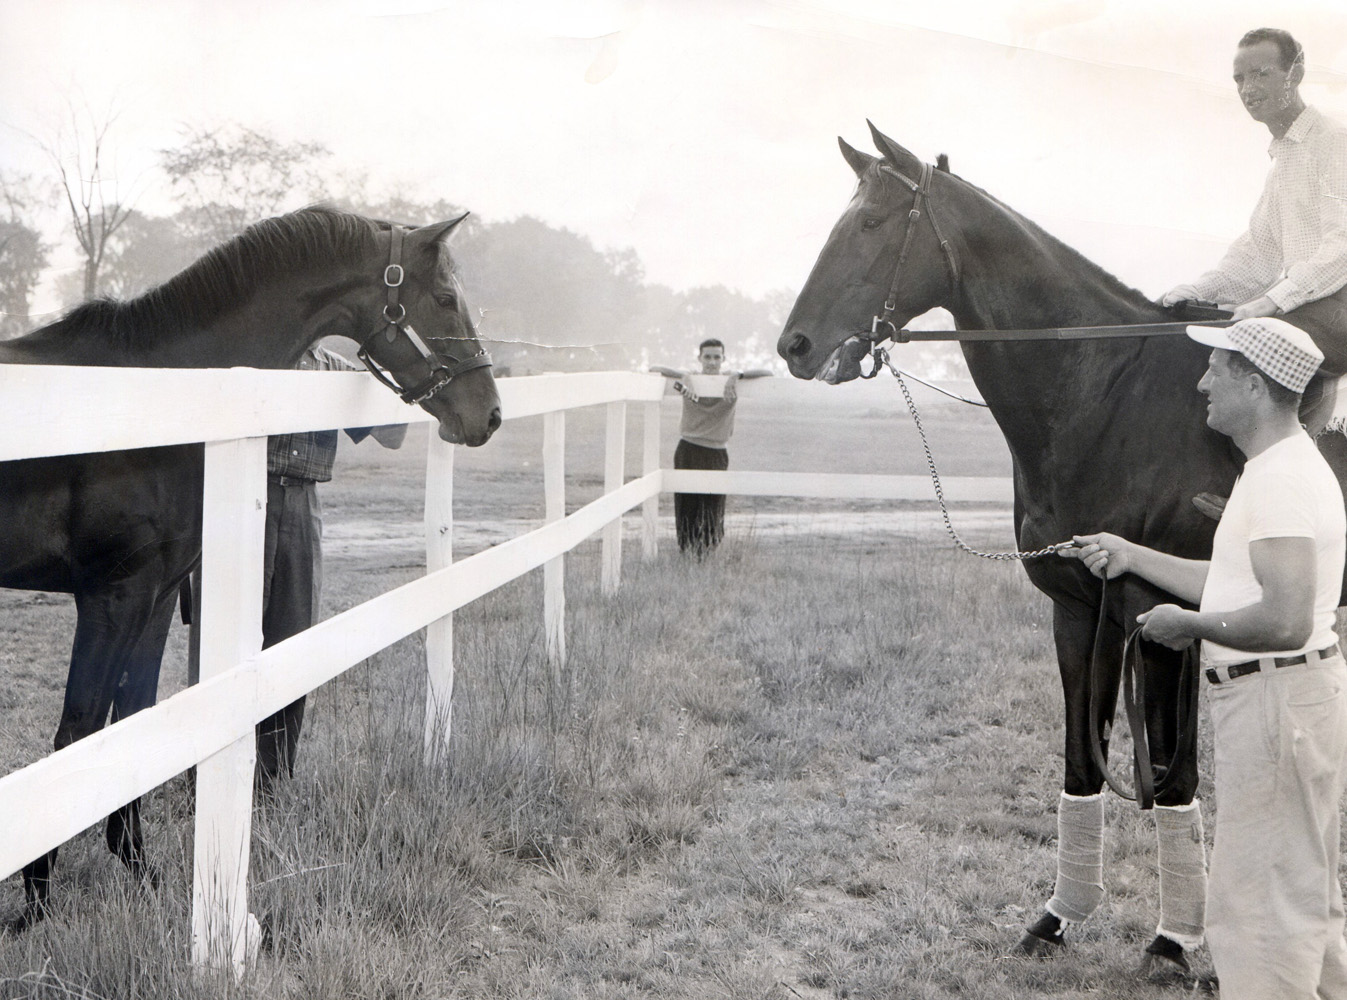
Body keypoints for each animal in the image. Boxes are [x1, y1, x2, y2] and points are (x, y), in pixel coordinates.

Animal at [0, 207, 503, 938]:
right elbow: (80, 728)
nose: (487, 413)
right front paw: (36, 903)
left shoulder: (154, 596)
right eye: (443, 298)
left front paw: (141, 873)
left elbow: (134, 719)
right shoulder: (112, 593)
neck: (163, 391)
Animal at [781, 123, 1347, 981]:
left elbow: (1173, 780)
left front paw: (1171, 942)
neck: (1107, 396)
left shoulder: (1163, 615)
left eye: (872, 224)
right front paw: (1054, 919)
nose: (795, 345)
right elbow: (1083, 763)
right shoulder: (1080, 608)